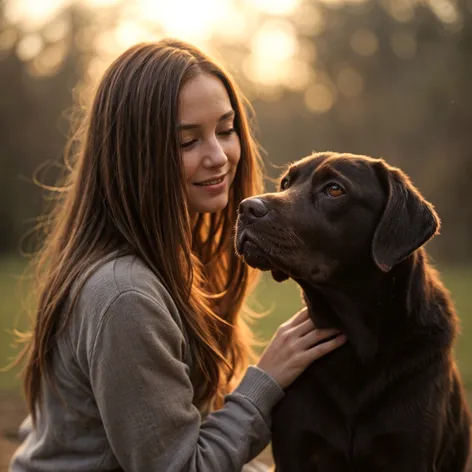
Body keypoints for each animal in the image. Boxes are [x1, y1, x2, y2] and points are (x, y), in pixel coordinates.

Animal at [234, 153, 470, 470]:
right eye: (285, 183)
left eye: (335, 190)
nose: (246, 208)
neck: (357, 343)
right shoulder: (295, 449)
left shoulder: (410, 450)